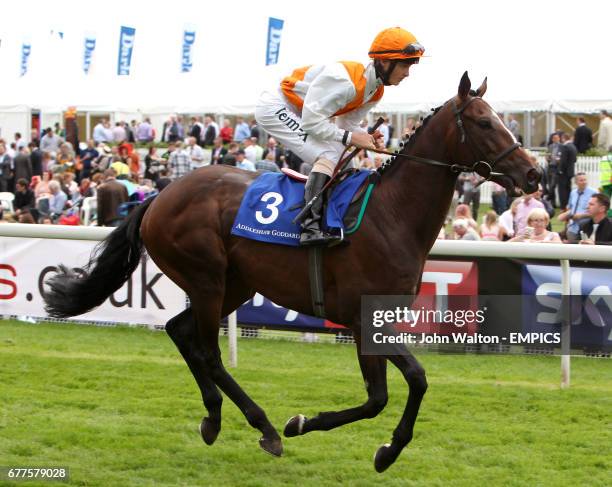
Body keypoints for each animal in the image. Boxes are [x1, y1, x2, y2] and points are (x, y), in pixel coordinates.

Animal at [43, 72, 540, 472]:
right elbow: (407, 383)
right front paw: (367, 444)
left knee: (179, 331)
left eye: (502, 119)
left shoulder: (376, 320)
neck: (392, 214)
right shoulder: (363, 319)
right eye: (484, 123)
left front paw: (351, 438)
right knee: (207, 351)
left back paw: (215, 418)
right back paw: (260, 425)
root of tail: (158, 196)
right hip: (206, 279)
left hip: (236, 284)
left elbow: (383, 395)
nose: (533, 174)